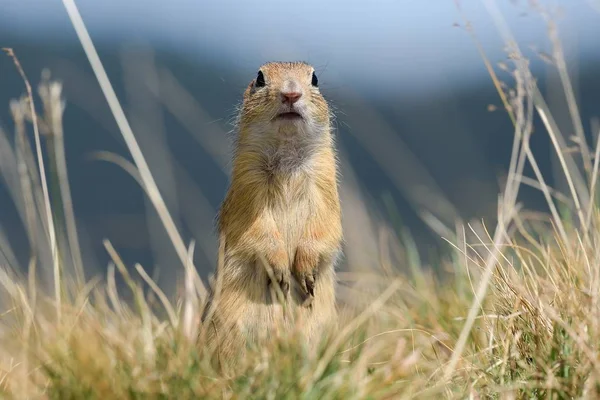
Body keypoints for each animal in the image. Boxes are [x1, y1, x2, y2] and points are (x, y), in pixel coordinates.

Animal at [200, 60, 342, 368]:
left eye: (315, 79)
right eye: (259, 78)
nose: (290, 94)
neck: (287, 154)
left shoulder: (325, 184)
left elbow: (326, 226)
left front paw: (305, 271)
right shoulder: (248, 186)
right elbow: (257, 231)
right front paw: (279, 270)